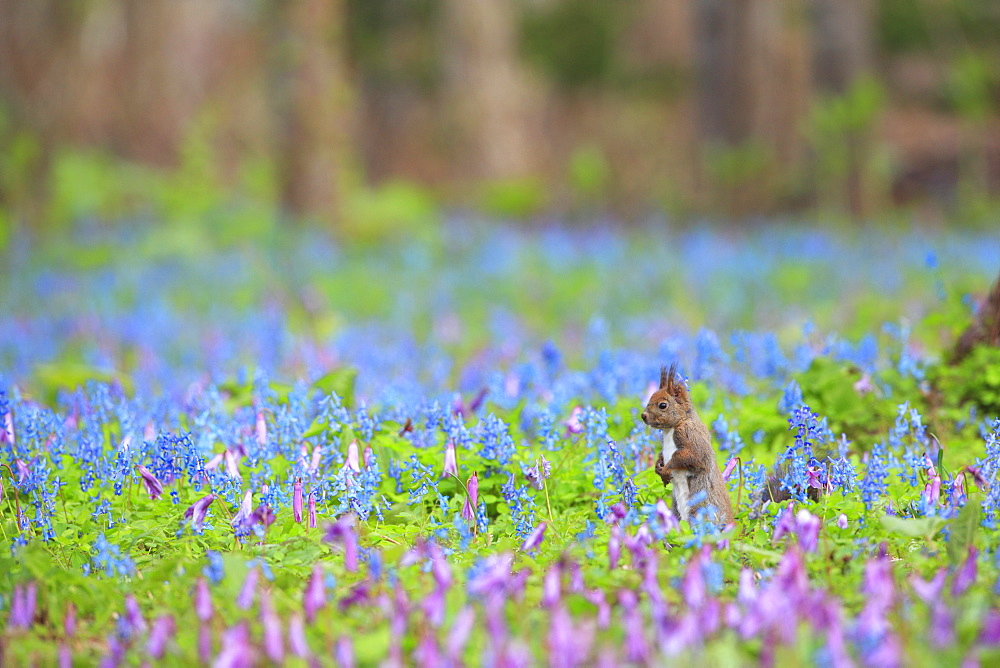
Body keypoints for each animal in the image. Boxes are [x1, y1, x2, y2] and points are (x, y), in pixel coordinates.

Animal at [640, 366, 736, 528]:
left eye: (663, 405)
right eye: (650, 397)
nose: (643, 415)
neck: (670, 429)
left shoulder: (689, 435)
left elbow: (689, 456)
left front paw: (665, 469)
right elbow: (661, 455)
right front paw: (657, 466)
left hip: (701, 510)